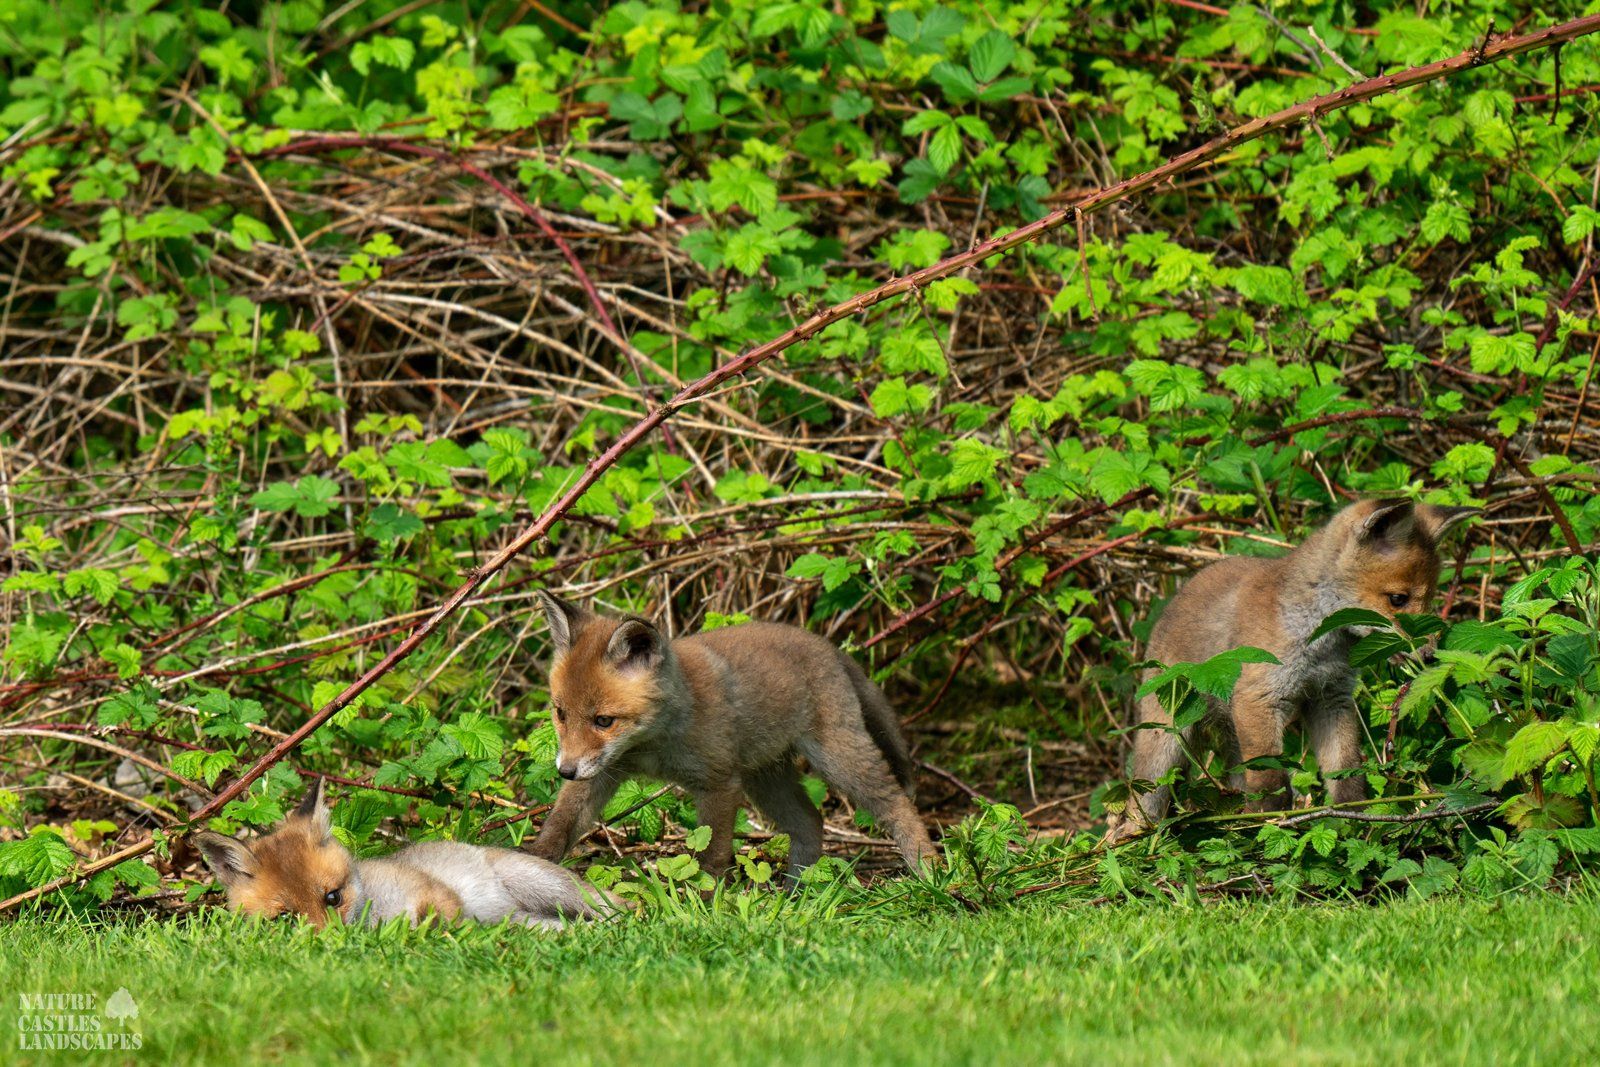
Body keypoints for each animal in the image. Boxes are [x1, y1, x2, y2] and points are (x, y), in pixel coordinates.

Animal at [193, 778, 617, 928]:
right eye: (285, 918)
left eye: (333, 898)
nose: (331, 943)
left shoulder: (435, 892)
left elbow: (440, 917)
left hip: (543, 884)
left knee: (615, 911)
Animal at [527, 592, 937, 881]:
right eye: (560, 713)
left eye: (603, 720)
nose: (564, 771)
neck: (652, 745)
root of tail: (829, 647)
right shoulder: (604, 771)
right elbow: (562, 823)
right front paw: (535, 864)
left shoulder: (720, 784)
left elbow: (712, 856)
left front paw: (704, 906)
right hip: (765, 779)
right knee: (810, 821)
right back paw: (796, 893)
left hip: (838, 760)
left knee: (896, 804)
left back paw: (930, 869)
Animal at [1107, 498, 1477, 842]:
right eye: (1398, 599)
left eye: (1429, 600)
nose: (1430, 655)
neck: (1318, 642)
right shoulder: (1259, 697)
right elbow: (1271, 783)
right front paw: (1275, 827)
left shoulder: (1331, 698)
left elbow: (1345, 772)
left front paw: (1351, 822)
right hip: (1166, 742)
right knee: (1145, 800)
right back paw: (1130, 840)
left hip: (1233, 737)